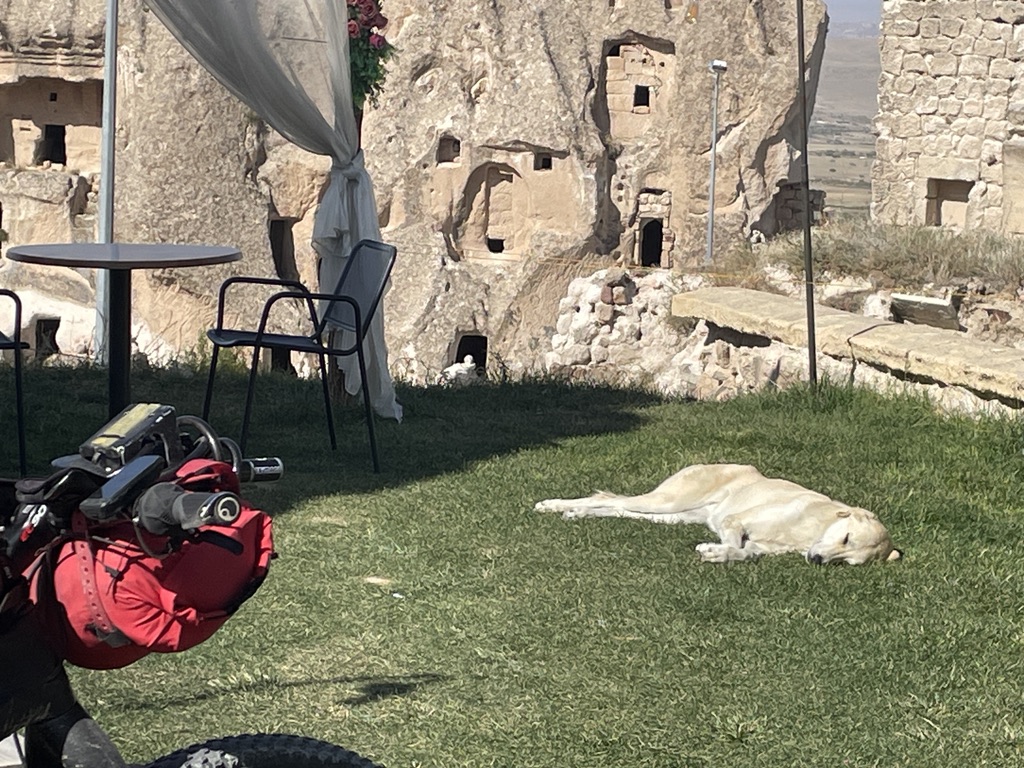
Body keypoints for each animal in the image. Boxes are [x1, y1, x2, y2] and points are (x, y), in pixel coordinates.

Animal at [535, 464, 901, 565]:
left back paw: (576, 512)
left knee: (618, 508)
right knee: (610, 498)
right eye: (846, 537)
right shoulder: (733, 521)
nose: (817, 560)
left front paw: (718, 553)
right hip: (666, 501)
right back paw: (562, 506)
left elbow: (747, 552)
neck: (811, 528)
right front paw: (716, 550)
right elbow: (737, 544)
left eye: (847, 560)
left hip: (669, 515)